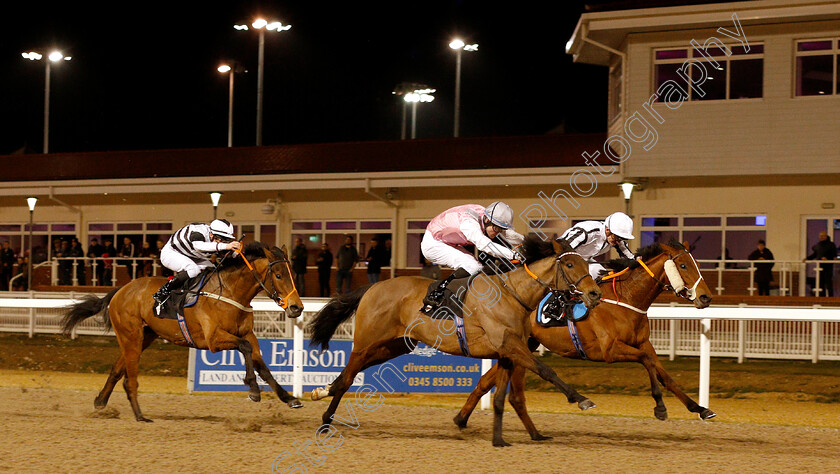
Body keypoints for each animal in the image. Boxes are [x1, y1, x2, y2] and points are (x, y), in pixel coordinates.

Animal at [61, 243, 306, 420]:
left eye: (293, 273)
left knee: (116, 370)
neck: (229, 292)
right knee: (129, 377)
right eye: (278, 275)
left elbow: (262, 365)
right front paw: (253, 389)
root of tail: (121, 290)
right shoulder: (213, 340)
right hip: (131, 336)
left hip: (143, 337)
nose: (297, 307)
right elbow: (246, 351)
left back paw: (101, 402)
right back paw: (139, 415)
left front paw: (289, 398)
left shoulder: (248, 334)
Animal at [308, 235, 604, 446]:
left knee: (351, 373)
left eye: (586, 264)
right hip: (365, 342)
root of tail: (374, 286)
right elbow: (546, 370)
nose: (595, 293)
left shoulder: (508, 352)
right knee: (348, 377)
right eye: (569, 264)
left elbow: (499, 398)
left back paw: (322, 392)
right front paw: (581, 399)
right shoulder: (512, 347)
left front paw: (498, 440)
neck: (513, 294)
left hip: (393, 346)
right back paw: (324, 421)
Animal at [452, 241, 716, 440]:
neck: (626, 299)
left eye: (696, 264)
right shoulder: (609, 350)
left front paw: (700, 409)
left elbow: (664, 374)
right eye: (683, 265)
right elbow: (646, 362)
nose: (706, 297)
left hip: (521, 345)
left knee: (485, 381)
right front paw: (660, 406)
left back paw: (461, 418)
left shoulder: (643, 344)